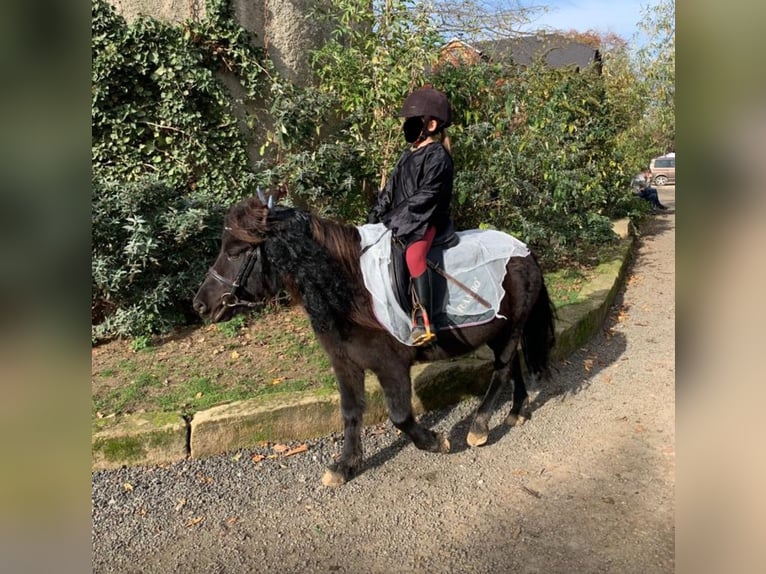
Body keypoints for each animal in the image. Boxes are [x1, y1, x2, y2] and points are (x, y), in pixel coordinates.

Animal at [191, 197, 552, 486]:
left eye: (236, 251)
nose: (200, 305)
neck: (350, 290)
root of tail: (525, 250)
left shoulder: (391, 366)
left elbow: (400, 415)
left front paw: (435, 442)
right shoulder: (346, 364)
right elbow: (351, 414)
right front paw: (344, 466)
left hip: (512, 327)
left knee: (502, 370)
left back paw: (479, 426)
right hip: (499, 331)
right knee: (513, 365)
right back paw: (516, 411)